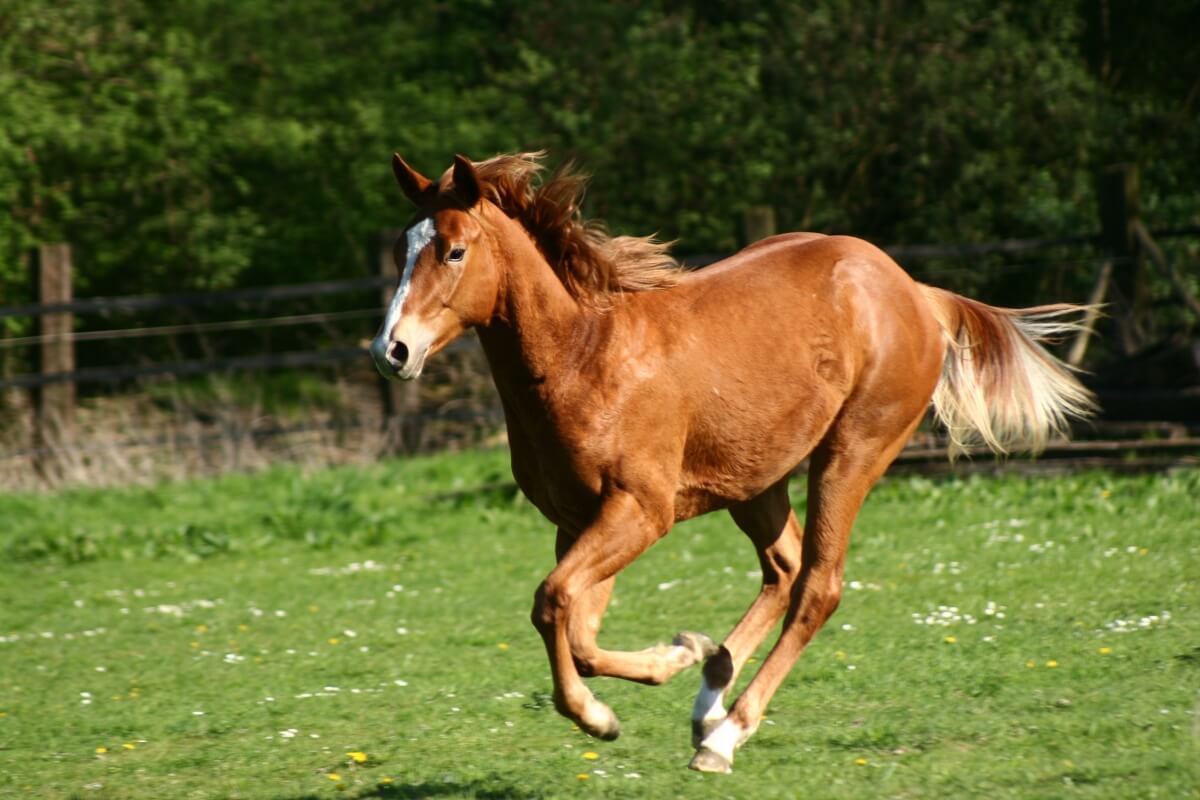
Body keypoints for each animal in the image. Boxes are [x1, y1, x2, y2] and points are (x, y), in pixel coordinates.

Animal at [369, 151, 1095, 773]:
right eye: (403, 247)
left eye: (454, 249)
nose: (391, 351)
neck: (583, 355)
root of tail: (914, 289)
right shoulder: (576, 520)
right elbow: (577, 627)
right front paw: (675, 659)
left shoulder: (641, 512)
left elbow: (553, 604)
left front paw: (607, 709)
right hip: (757, 479)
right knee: (785, 568)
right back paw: (710, 696)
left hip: (851, 453)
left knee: (818, 586)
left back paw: (725, 735)